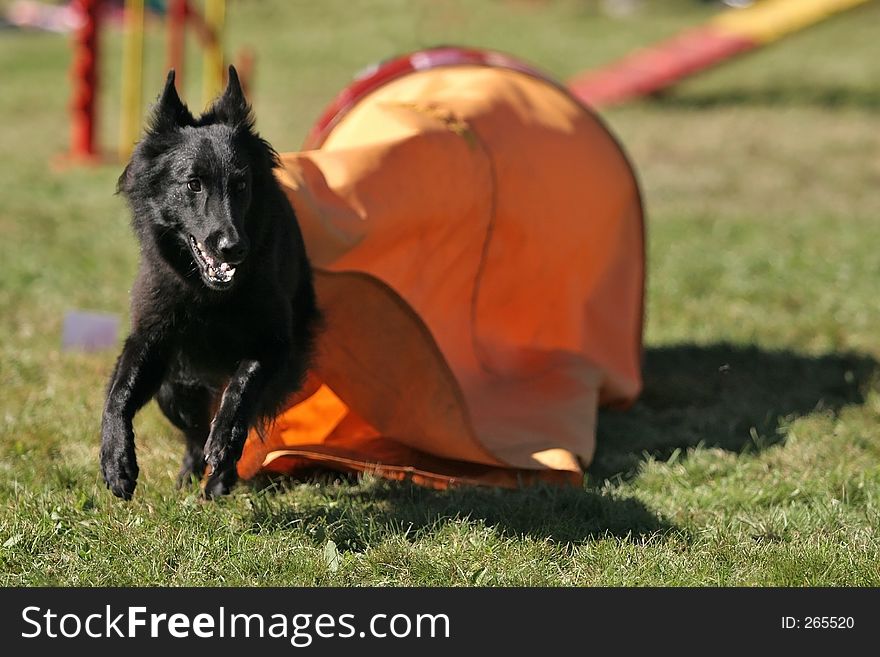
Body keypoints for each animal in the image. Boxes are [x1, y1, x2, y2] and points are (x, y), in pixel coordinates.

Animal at [101, 66, 320, 498]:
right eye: (194, 183)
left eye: (241, 185)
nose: (233, 247)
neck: (211, 297)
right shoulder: (154, 336)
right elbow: (119, 392)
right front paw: (116, 459)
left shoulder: (275, 343)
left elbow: (242, 387)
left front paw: (225, 443)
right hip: (174, 387)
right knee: (192, 433)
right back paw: (191, 474)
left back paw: (219, 476)